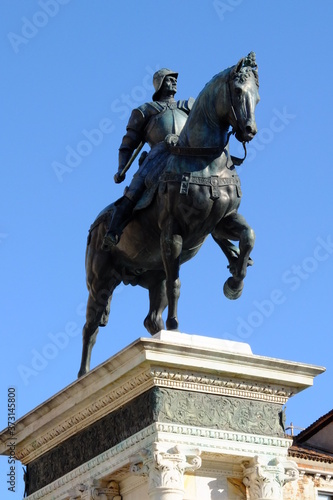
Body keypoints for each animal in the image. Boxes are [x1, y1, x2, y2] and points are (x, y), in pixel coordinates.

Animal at [78, 52, 260, 376]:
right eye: (239, 91)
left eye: (257, 96)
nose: (249, 130)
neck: (202, 160)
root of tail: (95, 226)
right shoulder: (172, 233)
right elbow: (177, 284)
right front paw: (176, 325)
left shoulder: (221, 222)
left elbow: (248, 237)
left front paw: (234, 284)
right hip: (99, 281)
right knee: (90, 327)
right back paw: (83, 376)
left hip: (154, 275)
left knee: (151, 319)